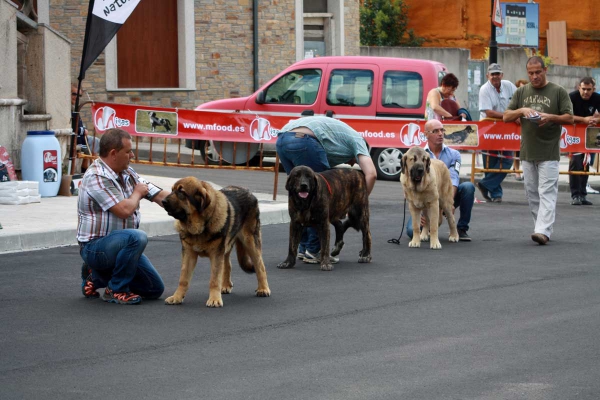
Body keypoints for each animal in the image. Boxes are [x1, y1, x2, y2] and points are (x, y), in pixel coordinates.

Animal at [162, 177, 270, 308]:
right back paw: (226, 285)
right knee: (228, 264)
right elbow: (183, 279)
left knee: (260, 266)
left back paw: (263, 289)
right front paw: (177, 297)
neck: (200, 227)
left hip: (250, 241)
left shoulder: (216, 255)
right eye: (172, 190)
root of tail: (249, 192)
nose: (163, 201)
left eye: (181, 192)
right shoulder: (188, 254)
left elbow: (214, 279)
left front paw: (214, 299)